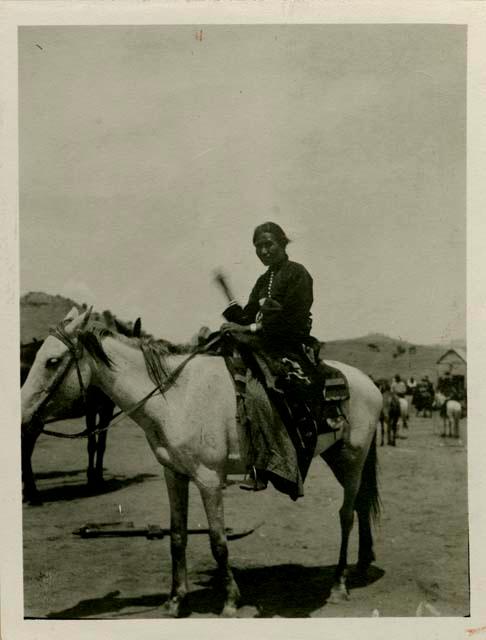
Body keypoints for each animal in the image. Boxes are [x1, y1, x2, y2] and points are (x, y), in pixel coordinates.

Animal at [20, 316, 140, 504]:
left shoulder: (92, 411)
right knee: (25, 450)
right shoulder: (103, 410)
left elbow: (93, 442)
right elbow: (99, 444)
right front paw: (97, 478)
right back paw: (32, 492)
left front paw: (92, 477)